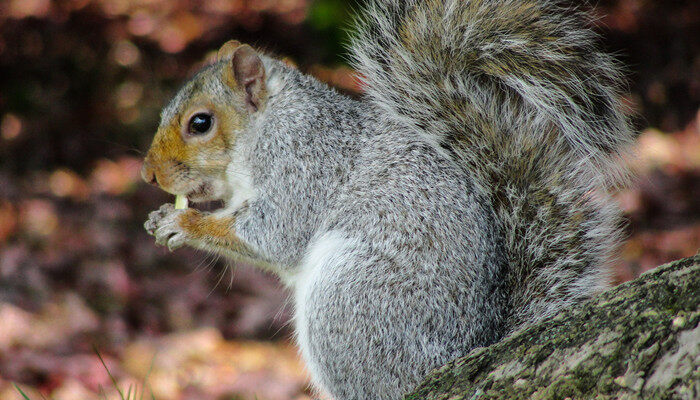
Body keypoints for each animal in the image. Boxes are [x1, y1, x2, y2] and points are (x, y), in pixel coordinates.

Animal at [141, 0, 636, 396]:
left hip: (350, 300)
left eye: (200, 123)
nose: (148, 174)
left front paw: (181, 223)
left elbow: (274, 235)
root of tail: (467, 347)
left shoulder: (303, 167)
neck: (270, 125)